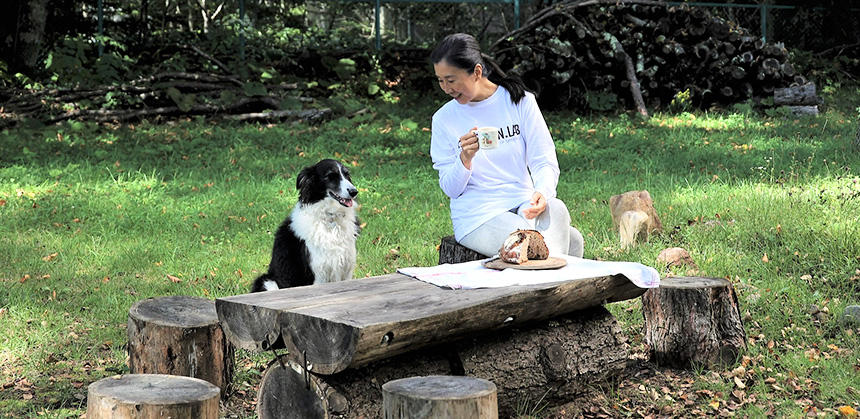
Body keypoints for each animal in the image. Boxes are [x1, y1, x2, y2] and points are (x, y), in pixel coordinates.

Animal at [250, 158, 362, 292]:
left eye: (346, 175)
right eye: (330, 176)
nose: (354, 192)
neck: (330, 219)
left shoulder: (346, 270)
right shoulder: (318, 274)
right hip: (267, 281)